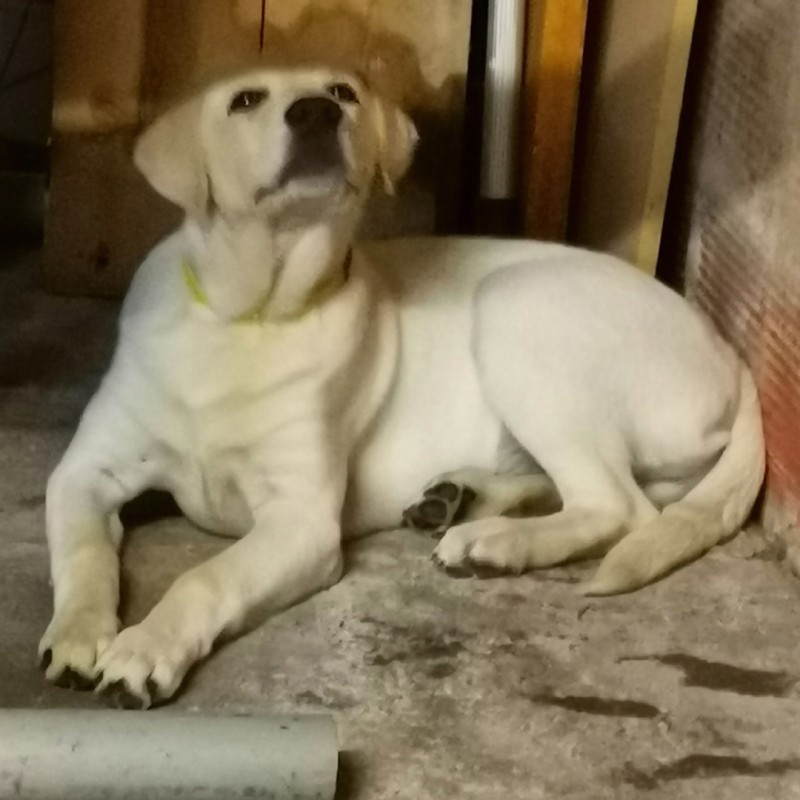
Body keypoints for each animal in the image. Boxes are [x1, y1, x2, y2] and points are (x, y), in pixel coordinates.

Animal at [39, 66, 765, 709]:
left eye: (342, 92)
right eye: (244, 100)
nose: (315, 112)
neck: (249, 318)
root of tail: (734, 357)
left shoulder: (302, 521)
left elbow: (205, 578)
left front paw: (145, 648)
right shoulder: (83, 475)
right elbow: (83, 555)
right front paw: (77, 635)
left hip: (517, 306)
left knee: (620, 507)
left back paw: (494, 542)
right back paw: (459, 500)